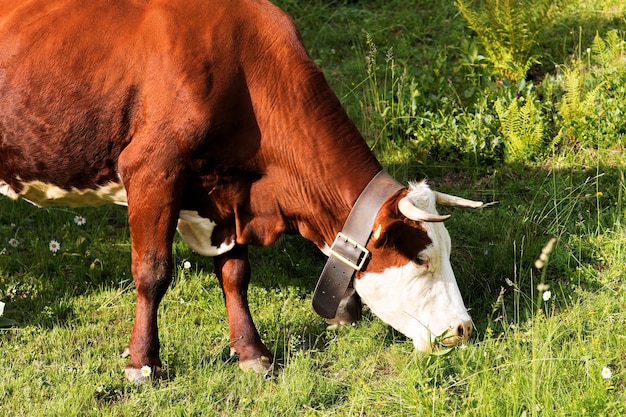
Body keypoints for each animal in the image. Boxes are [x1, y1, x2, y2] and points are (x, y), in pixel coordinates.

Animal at [0, 0, 486, 380]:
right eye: (421, 258)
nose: (464, 329)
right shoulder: (152, 169)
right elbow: (152, 272)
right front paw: (142, 364)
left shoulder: (229, 196)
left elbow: (235, 273)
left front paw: (253, 353)